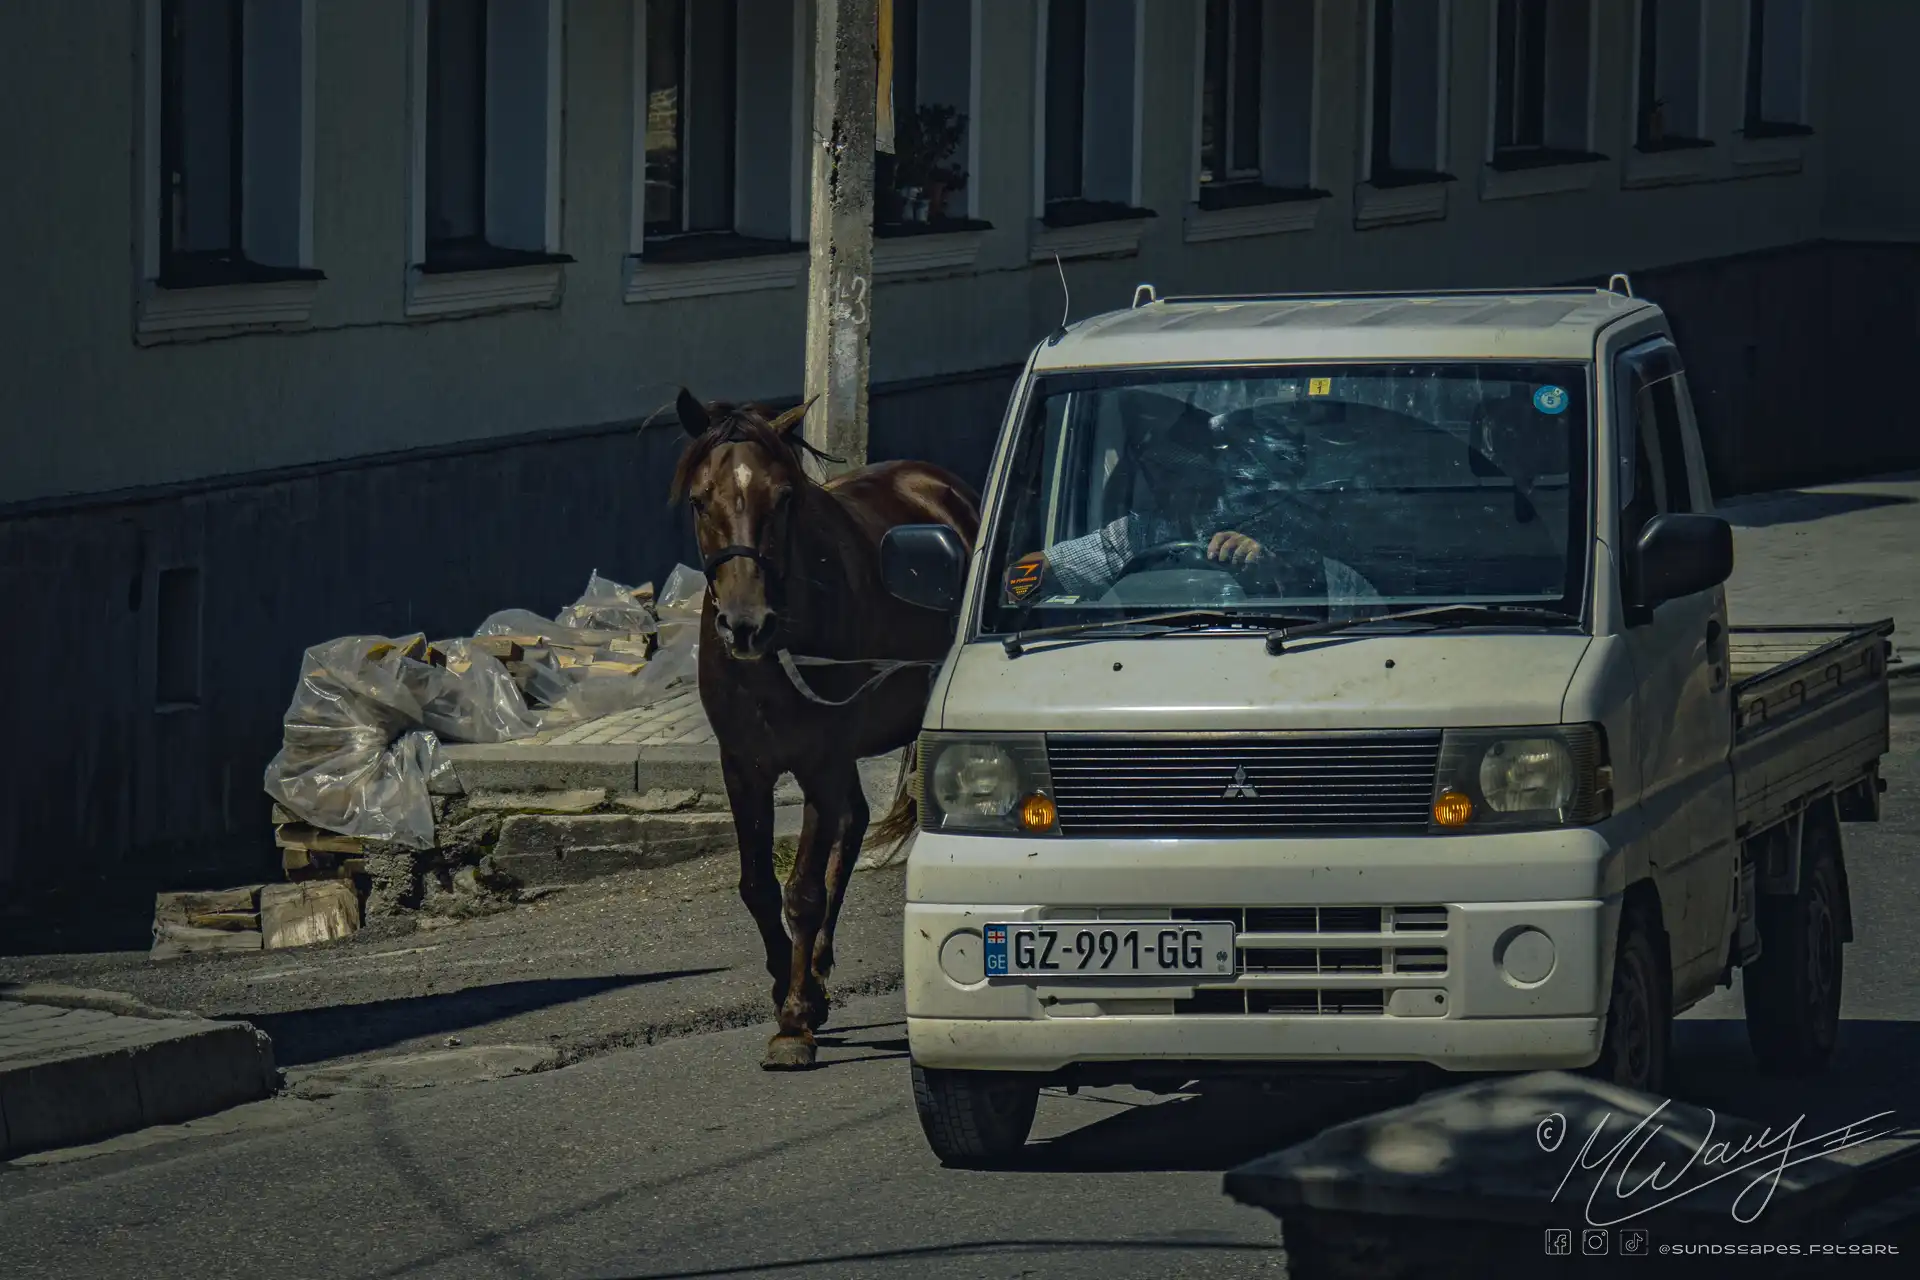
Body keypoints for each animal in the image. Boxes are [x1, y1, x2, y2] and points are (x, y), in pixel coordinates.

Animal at [672, 391, 975, 1074]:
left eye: (784, 497)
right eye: (700, 499)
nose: (745, 624)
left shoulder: (818, 759)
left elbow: (803, 890)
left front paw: (792, 1021)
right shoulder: (744, 766)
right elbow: (757, 885)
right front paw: (789, 986)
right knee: (854, 822)